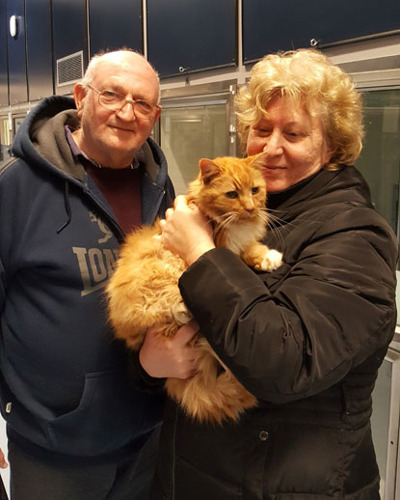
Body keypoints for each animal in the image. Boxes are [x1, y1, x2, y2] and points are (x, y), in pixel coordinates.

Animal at [106, 151, 282, 422]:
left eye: (255, 190)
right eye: (232, 194)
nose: (250, 209)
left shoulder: (237, 247)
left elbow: (250, 249)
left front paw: (268, 257)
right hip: (162, 270)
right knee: (162, 310)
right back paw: (185, 311)